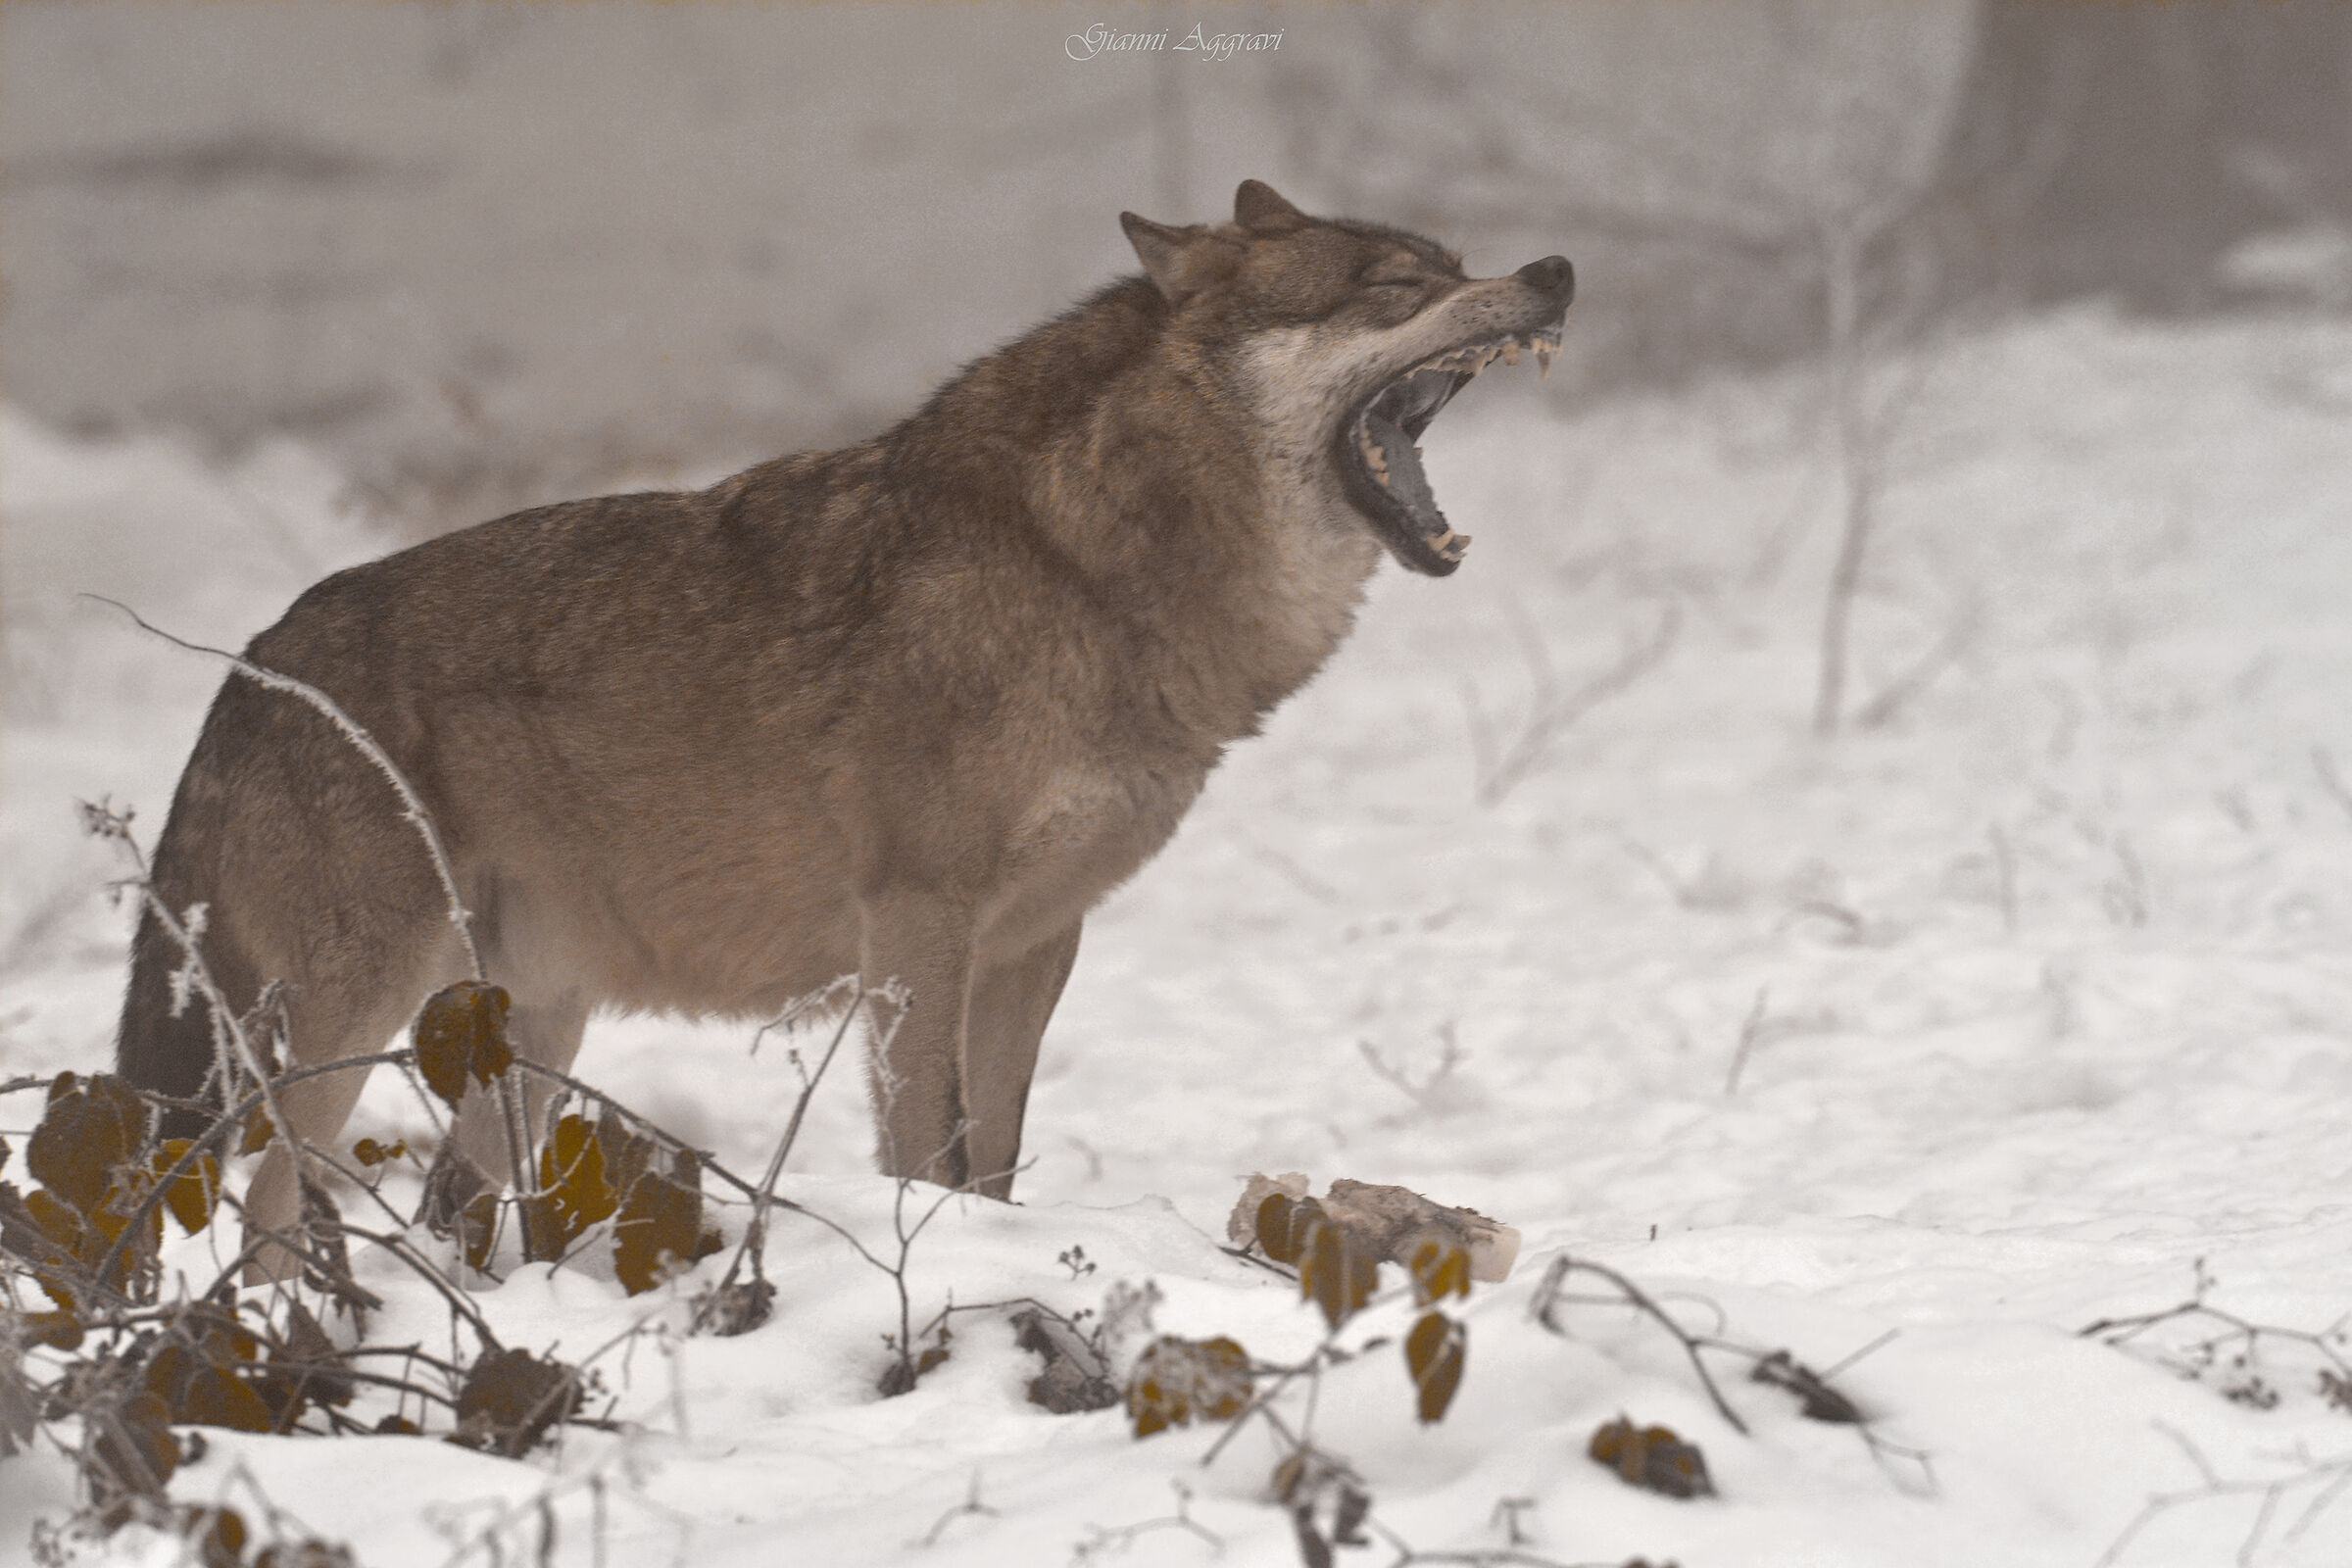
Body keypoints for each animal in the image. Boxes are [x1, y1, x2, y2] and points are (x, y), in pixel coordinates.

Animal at [115, 180, 1572, 1267]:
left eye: (1456, 264)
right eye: (1391, 290)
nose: (1556, 270)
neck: (1084, 565)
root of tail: (251, 664)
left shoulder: (1036, 940)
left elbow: (996, 1160)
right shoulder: (916, 920)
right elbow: (930, 1150)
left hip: (532, 1033)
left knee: (445, 1212)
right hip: (364, 1015)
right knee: (267, 1203)